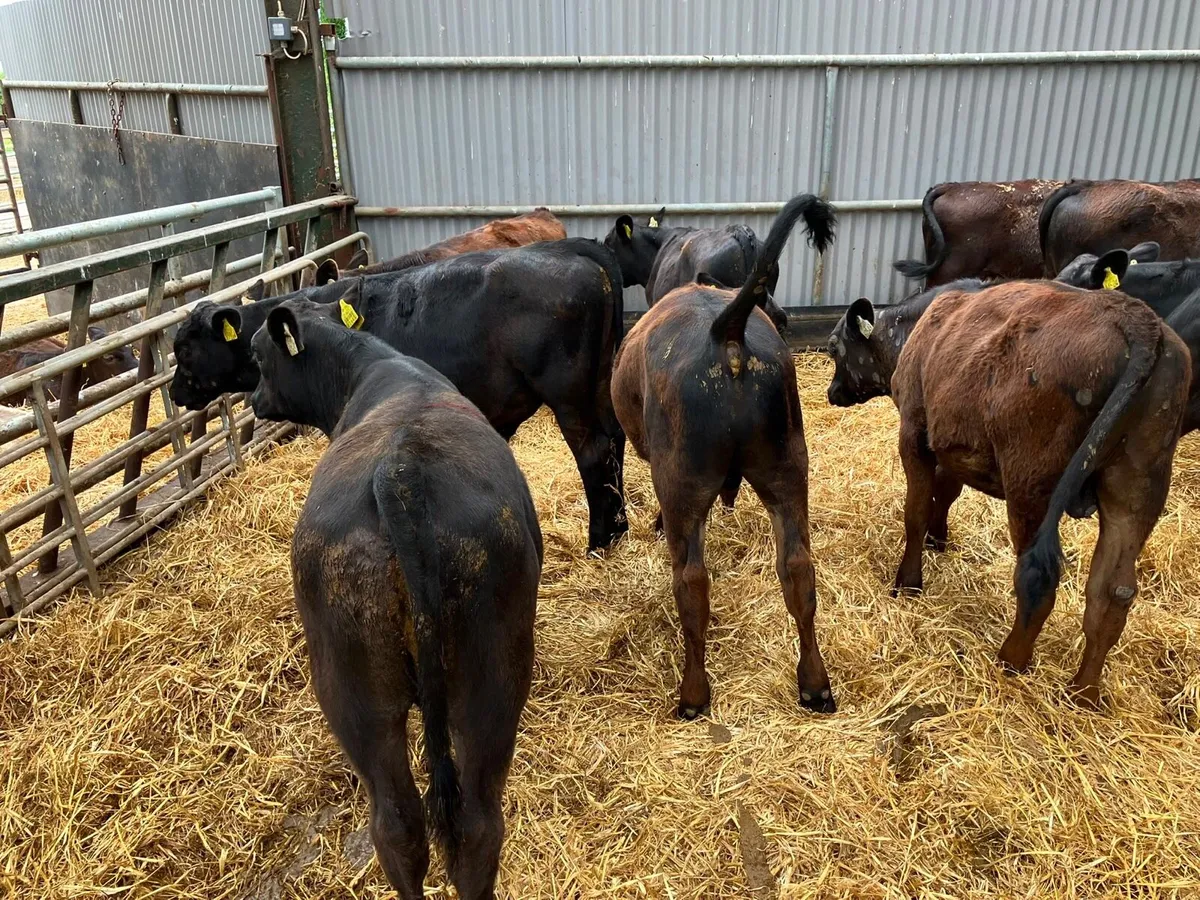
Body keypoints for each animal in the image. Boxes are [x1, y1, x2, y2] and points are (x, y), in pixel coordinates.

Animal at [171, 239, 627, 551]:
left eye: (186, 349)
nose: (174, 392)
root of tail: (572, 250)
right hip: (601, 385)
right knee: (615, 442)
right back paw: (619, 528)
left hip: (569, 395)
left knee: (593, 452)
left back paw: (598, 540)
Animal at [249, 299, 541, 899]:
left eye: (258, 356)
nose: (253, 401)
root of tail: (400, 470)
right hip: (477, 685)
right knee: (449, 824)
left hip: (364, 690)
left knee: (404, 824)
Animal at [826, 273, 1190, 706]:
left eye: (833, 348)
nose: (831, 392)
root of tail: (1137, 319)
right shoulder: (951, 443)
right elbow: (946, 492)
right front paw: (938, 539)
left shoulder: (915, 431)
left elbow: (915, 512)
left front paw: (908, 582)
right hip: (1136, 488)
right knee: (1112, 591)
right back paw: (1083, 692)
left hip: (1030, 482)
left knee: (1039, 577)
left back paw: (1011, 660)